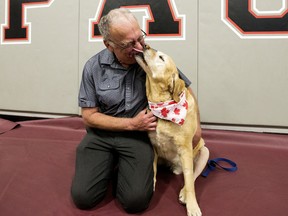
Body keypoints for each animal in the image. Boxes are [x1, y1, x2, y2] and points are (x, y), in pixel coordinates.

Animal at [135, 45, 209, 216]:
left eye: (161, 58)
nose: (145, 45)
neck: (162, 105)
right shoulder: (153, 146)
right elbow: (153, 168)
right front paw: (152, 185)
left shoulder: (186, 149)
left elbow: (190, 181)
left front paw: (192, 206)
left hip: (204, 151)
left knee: (192, 175)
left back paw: (183, 193)